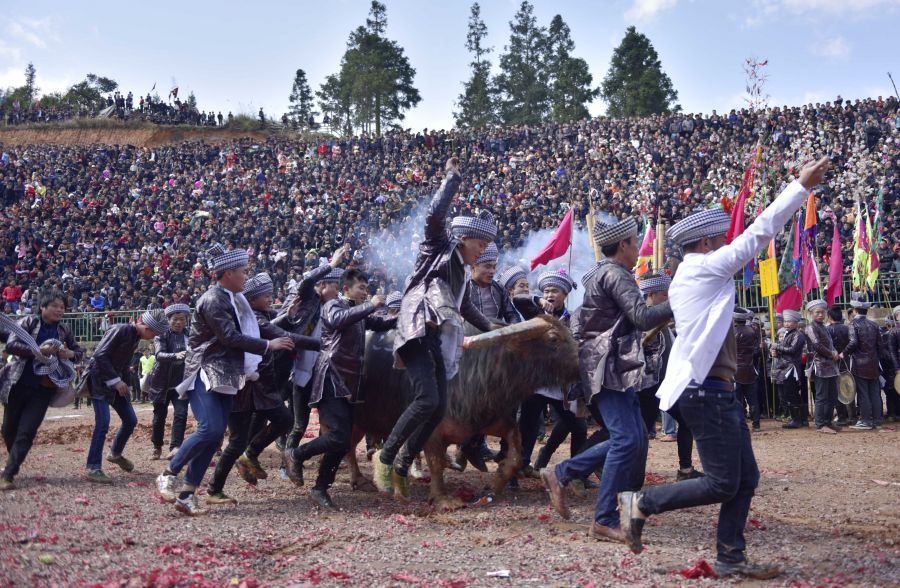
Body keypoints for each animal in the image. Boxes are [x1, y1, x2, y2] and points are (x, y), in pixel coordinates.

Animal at [348, 316, 580, 510]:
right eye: (553, 338)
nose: (581, 364)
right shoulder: (431, 430)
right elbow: (436, 463)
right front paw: (442, 498)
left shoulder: (489, 420)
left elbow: (515, 453)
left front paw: (497, 481)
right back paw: (360, 479)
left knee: (348, 447)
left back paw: (360, 479)